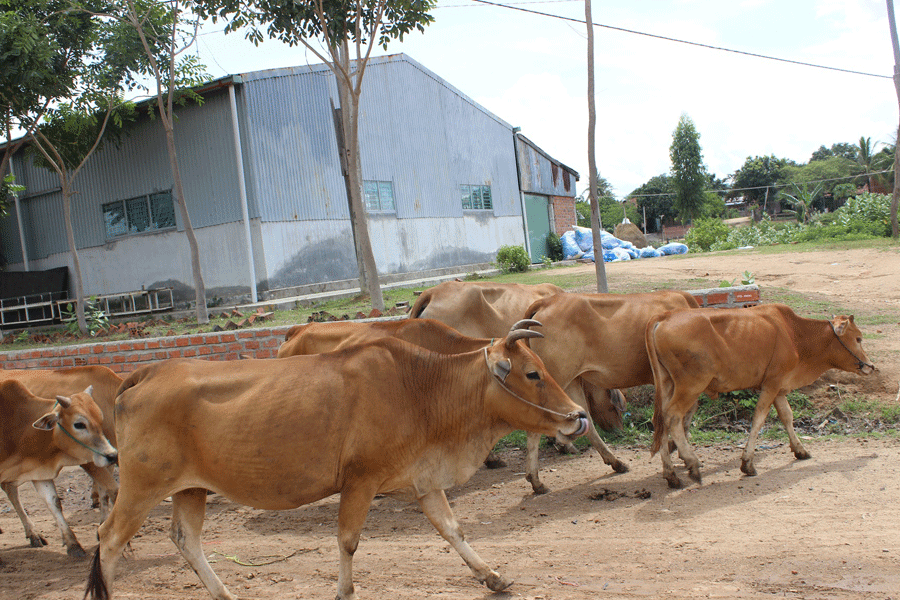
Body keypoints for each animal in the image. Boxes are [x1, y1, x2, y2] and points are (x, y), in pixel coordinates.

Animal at [0, 380, 118, 556]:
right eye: (79, 424)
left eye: (100, 420)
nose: (112, 455)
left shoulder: (37, 471)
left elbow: (53, 502)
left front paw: (73, 545)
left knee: (11, 491)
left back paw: (33, 534)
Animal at [86, 324, 592, 600]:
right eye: (533, 373)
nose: (579, 417)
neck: (420, 387)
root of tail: (148, 371)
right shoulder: (360, 481)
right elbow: (348, 541)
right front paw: (345, 589)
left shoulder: (424, 480)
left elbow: (454, 531)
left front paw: (492, 575)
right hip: (140, 487)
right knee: (108, 539)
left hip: (190, 488)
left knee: (185, 540)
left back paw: (226, 592)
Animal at [520, 290, 704, 492]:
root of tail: (547, 301)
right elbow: (683, 412)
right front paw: (677, 455)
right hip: (556, 379)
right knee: (535, 428)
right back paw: (536, 481)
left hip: (571, 382)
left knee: (586, 422)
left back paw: (616, 462)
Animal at [652, 304, 876, 488]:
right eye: (858, 338)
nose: (870, 366)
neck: (794, 334)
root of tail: (663, 317)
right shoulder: (772, 384)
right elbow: (759, 419)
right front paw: (747, 463)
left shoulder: (778, 387)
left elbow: (787, 416)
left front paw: (800, 450)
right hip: (691, 385)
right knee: (673, 417)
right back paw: (692, 465)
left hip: (667, 383)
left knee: (661, 419)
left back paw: (671, 475)